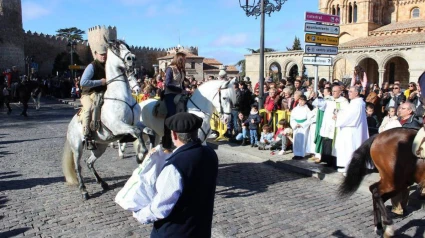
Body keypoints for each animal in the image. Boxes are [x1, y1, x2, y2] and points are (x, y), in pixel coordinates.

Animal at [61, 40, 147, 200]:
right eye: (116, 47)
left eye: (127, 46)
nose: (131, 58)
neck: (122, 95)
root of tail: (70, 125)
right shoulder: (119, 126)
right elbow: (137, 132)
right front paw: (141, 154)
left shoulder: (135, 123)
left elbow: (147, 131)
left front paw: (143, 153)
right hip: (77, 147)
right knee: (78, 166)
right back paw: (84, 190)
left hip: (100, 146)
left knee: (89, 163)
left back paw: (102, 183)